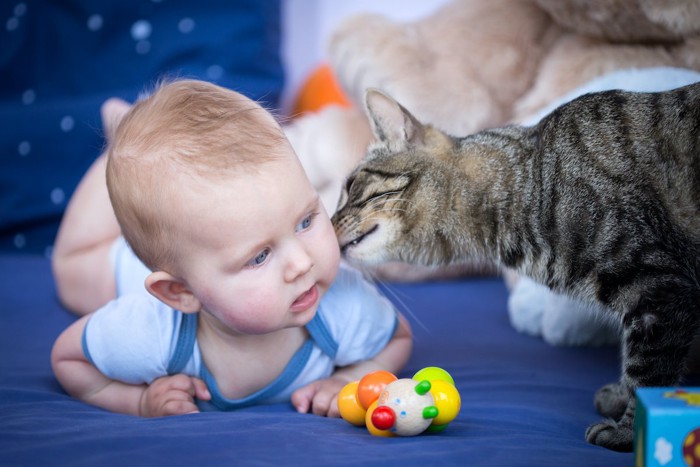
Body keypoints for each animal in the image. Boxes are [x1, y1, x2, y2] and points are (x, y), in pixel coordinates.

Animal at [332, 85, 700, 454]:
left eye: (350, 186)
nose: (329, 223)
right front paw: (621, 399)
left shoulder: (658, 291)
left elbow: (647, 372)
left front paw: (628, 431)